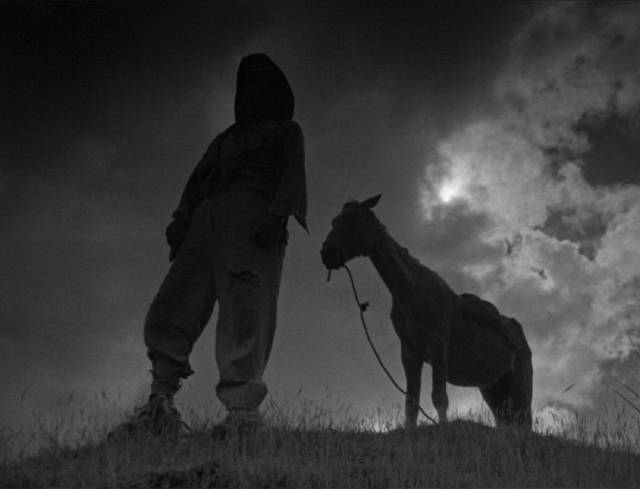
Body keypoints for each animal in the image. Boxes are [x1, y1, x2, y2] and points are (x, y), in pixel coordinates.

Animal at [318, 193, 532, 428]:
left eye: (353, 217)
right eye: (334, 221)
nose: (326, 253)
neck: (410, 290)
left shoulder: (437, 346)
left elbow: (439, 396)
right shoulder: (410, 353)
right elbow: (412, 402)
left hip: (520, 383)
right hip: (493, 387)